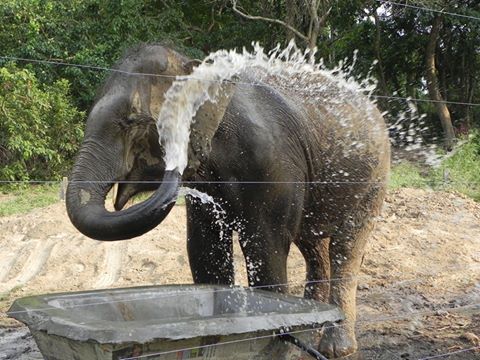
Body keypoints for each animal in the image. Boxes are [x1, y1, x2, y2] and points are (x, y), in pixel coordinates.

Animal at [65, 44, 392, 358]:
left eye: (131, 121)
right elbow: (205, 249)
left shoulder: (272, 164)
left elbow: (265, 247)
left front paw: (275, 343)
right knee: (313, 245)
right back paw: (310, 333)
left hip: (374, 178)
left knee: (345, 249)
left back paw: (335, 348)